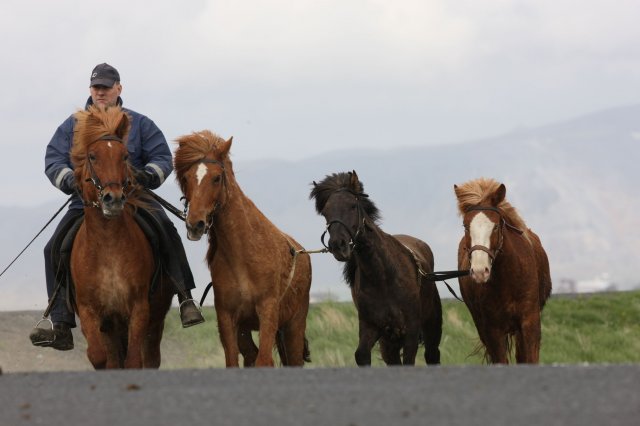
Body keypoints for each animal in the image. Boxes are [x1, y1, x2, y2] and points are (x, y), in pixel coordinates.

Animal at [69, 105, 172, 368]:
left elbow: (134, 360)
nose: (112, 199)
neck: (108, 246)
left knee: (151, 358)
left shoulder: (138, 309)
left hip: (154, 321)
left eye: (125, 156)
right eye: (92, 156)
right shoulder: (91, 312)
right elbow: (99, 357)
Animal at [172, 131, 312, 368]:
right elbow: (234, 361)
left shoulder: (268, 311)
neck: (245, 254)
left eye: (217, 177)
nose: (195, 224)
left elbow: (264, 361)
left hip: (294, 326)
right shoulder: (227, 317)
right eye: (187, 178)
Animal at [308, 171, 440, 364]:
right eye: (325, 212)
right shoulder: (372, 328)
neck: (383, 277)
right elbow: (361, 353)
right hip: (389, 343)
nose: (338, 245)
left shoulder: (411, 333)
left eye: (352, 205)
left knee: (432, 354)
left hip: (431, 326)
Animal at [452, 178, 552, 364]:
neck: (509, 280)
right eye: (466, 227)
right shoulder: (493, 330)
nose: (480, 271)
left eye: (496, 226)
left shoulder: (530, 323)